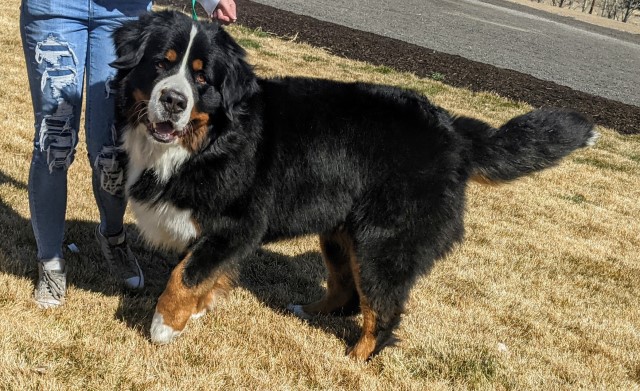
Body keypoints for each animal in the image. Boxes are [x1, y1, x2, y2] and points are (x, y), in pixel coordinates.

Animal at [111, 10, 600, 360]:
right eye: (161, 64)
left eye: (201, 78)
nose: (173, 101)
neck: (206, 142)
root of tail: (453, 129)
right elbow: (202, 274)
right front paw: (199, 310)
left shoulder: (235, 225)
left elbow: (184, 275)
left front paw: (164, 326)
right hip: (340, 231)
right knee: (346, 289)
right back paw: (308, 311)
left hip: (384, 243)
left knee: (382, 308)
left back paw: (357, 358)